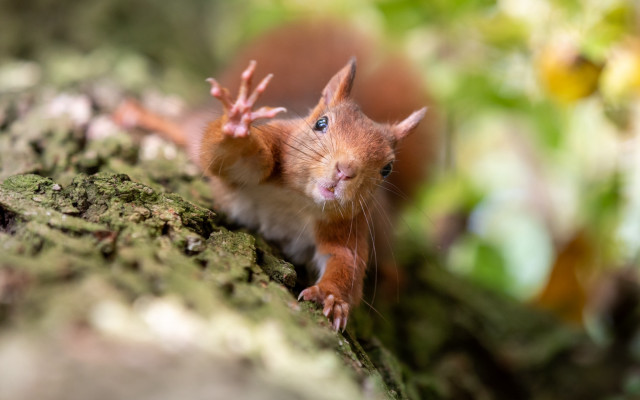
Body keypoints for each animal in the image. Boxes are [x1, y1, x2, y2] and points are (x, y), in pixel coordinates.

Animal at [114, 20, 435, 330]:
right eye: (321, 124)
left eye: (387, 168)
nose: (346, 170)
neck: (299, 200)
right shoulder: (271, 145)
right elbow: (229, 161)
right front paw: (238, 122)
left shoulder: (349, 225)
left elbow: (345, 262)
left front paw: (331, 296)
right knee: (183, 126)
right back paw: (140, 115)